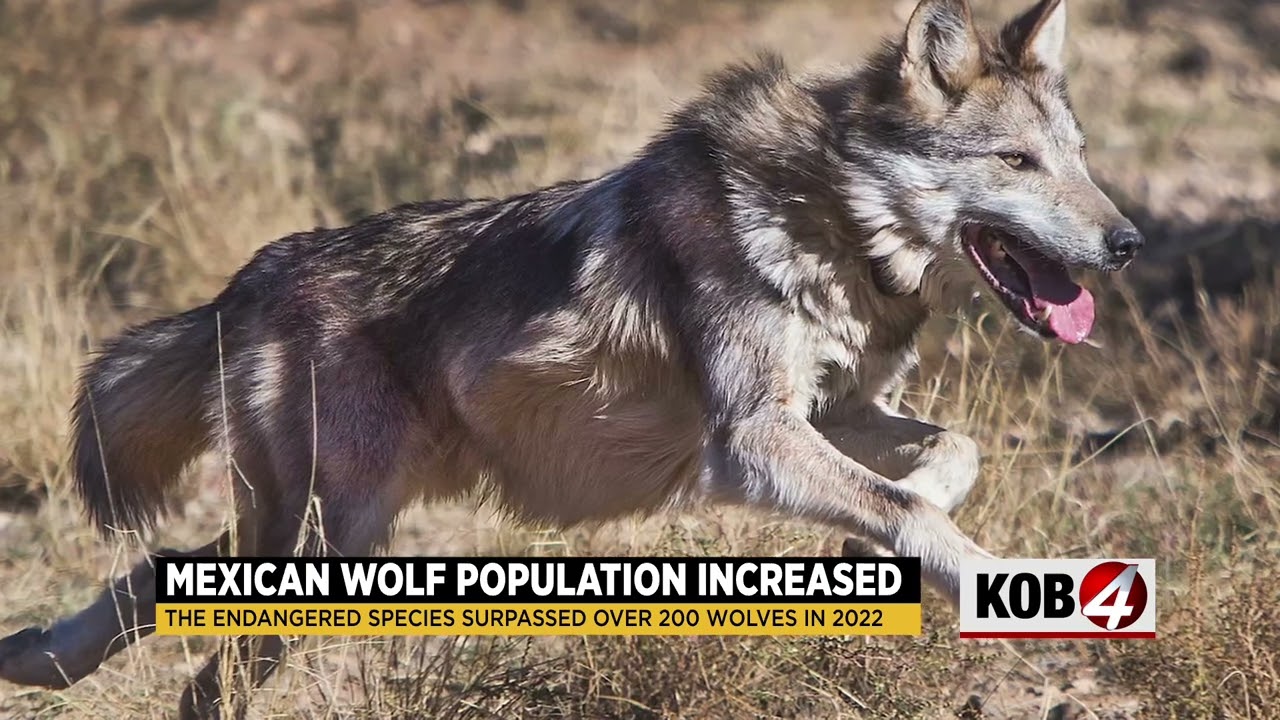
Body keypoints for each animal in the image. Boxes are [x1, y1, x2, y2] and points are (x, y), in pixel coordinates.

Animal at [0, 0, 1141, 716]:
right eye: (1015, 162)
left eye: (1080, 159)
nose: (1127, 242)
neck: (828, 219)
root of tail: (244, 282)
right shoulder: (750, 441)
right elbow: (910, 505)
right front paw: (986, 579)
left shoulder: (834, 414)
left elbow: (949, 458)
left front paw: (890, 539)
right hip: (329, 541)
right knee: (203, 675)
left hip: (319, 530)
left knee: (156, 577)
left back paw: (35, 660)